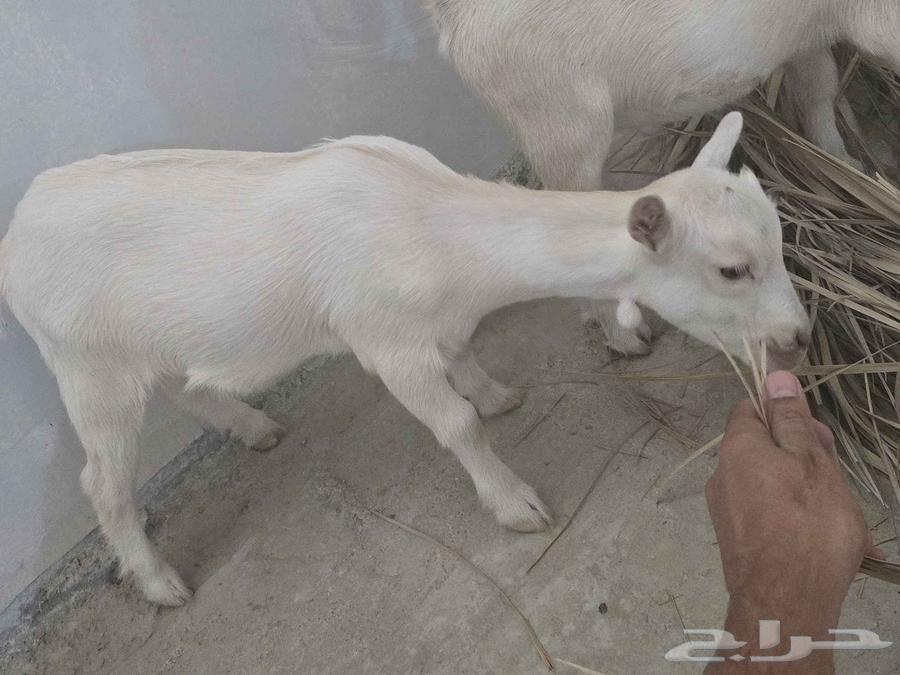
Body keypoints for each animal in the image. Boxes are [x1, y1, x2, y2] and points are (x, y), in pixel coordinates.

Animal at [0, 113, 809, 606]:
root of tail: (20, 223)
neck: (439, 229)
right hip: (86, 364)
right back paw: (160, 581)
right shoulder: (383, 340)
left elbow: (464, 356)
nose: (799, 337)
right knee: (102, 480)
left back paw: (254, 428)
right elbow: (454, 426)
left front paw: (495, 393)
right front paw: (514, 503)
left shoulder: (437, 323)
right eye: (732, 269)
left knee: (186, 388)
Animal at [427, 0, 897, 352]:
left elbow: (819, 89)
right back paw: (629, 341)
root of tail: (450, 14)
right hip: (562, 124)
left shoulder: (806, 39)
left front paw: (846, 164)